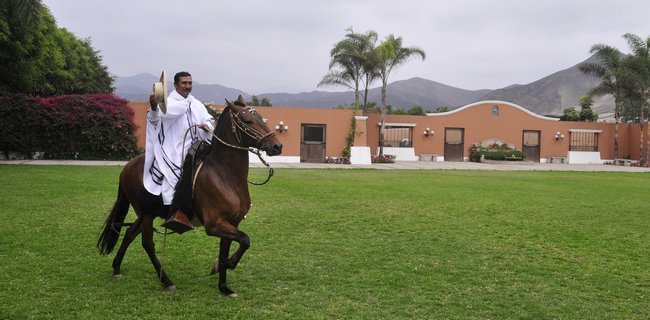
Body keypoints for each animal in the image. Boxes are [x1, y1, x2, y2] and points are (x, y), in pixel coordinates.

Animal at [97, 95, 280, 298]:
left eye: (260, 117)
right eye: (248, 121)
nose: (276, 146)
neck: (225, 175)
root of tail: (127, 167)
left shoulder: (231, 222)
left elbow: (228, 249)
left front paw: (224, 286)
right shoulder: (214, 225)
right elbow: (245, 241)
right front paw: (221, 266)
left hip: (146, 212)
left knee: (130, 233)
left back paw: (117, 268)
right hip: (146, 214)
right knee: (147, 243)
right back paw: (167, 281)